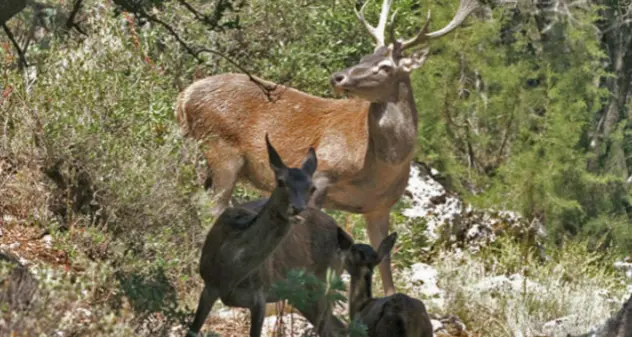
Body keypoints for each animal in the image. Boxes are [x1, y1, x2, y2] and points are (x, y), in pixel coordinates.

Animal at [175, 0, 482, 294]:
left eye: (385, 66)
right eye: (363, 56)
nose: (338, 77)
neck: (377, 165)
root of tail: (184, 96)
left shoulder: (380, 206)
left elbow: (385, 263)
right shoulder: (323, 173)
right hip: (221, 149)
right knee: (212, 207)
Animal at [188, 134, 354, 336]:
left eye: (312, 188)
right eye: (281, 182)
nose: (298, 209)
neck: (230, 270)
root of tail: (344, 236)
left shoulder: (261, 294)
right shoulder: (208, 285)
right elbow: (192, 330)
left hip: (324, 285)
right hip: (304, 296)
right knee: (338, 327)